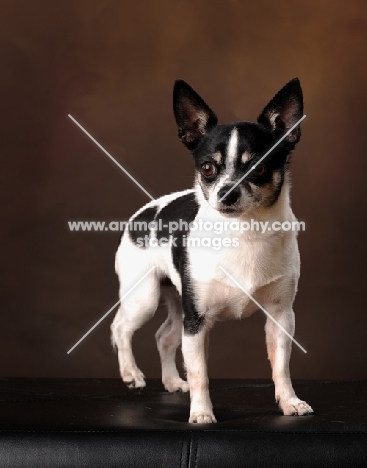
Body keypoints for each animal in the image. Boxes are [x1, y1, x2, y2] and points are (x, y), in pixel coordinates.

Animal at [111, 78, 314, 422]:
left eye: (259, 169)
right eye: (207, 168)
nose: (227, 192)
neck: (245, 231)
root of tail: (142, 214)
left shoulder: (280, 316)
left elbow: (281, 367)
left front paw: (290, 401)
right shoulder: (197, 323)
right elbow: (200, 372)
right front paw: (202, 413)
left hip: (177, 303)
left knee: (163, 337)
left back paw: (171, 381)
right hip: (145, 297)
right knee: (121, 326)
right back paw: (131, 374)